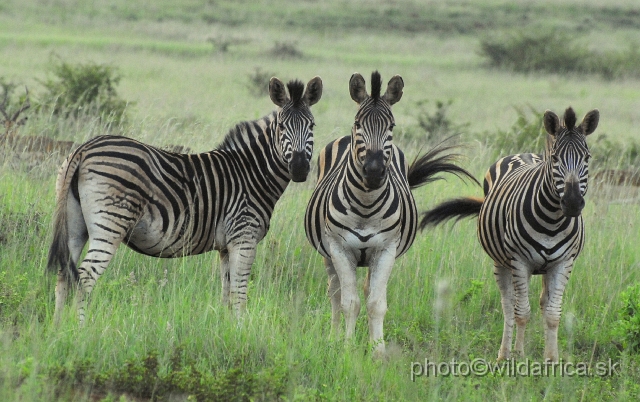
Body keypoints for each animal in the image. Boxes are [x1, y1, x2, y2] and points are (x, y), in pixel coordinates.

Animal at [47, 77, 322, 326]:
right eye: (282, 127)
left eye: (312, 125)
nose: (299, 169)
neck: (251, 171)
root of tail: (84, 148)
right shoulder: (244, 238)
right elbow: (239, 293)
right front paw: (242, 331)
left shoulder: (225, 246)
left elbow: (227, 292)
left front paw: (226, 331)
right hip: (111, 223)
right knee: (84, 278)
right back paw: (81, 330)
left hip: (75, 225)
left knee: (64, 274)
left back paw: (59, 330)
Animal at [302, 70, 478, 356]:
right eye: (358, 124)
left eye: (391, 127)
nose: (374, 172)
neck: (365, 206)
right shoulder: (339, 248)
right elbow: (349, 303)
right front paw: (347, 349)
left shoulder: (386, 250)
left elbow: (376, 304)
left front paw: (377, 352)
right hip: (327, 251)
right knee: (335, 292)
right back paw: (333, 337)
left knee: (365, 290)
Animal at [420, 106, 600, 362]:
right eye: (555, 158)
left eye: (587, 158)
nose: (573, 203)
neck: (553, 221)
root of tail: (522, 153)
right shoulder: (520, 261)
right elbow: (521, 312)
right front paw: (519, 354)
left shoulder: (564, 262)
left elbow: (553, 314)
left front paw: (551, 359)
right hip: (502, 262)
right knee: (508, 305)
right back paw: (504, 353)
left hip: (543, 267)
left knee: (541, 302)